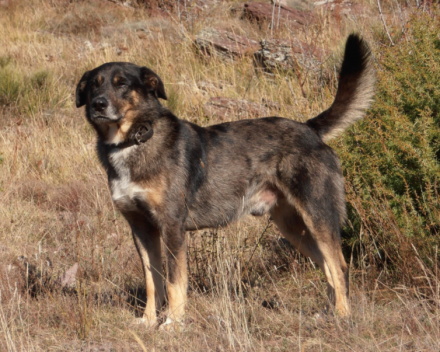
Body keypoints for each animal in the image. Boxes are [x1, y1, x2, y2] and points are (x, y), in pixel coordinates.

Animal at [75, 34, 374, 328]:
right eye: (93, 85)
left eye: (122, 84)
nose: (98, 104)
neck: (133, 140)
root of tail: (310, 130)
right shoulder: (141, 229)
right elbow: (153, 281)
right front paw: (149, 321)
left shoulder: (172, 227)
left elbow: (174, 282)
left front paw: (173, 322)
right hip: (293, 226)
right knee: (327, 266)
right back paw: (329, 314)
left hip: (318, 215)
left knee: (339, 266)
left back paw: (343, 317)